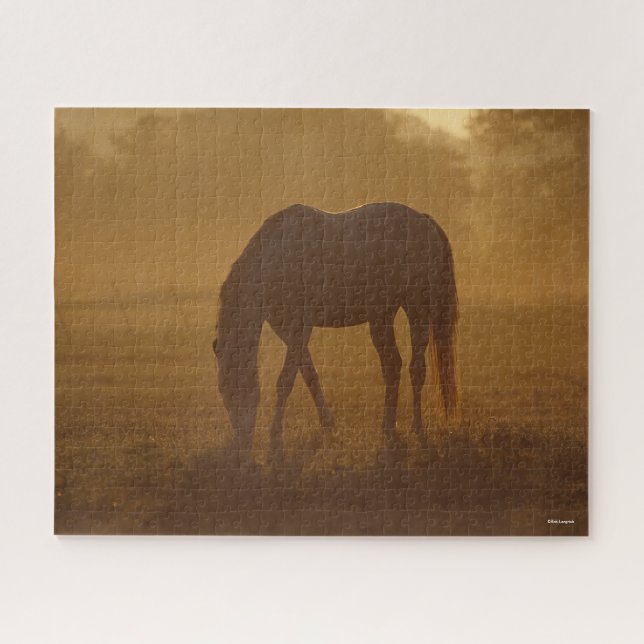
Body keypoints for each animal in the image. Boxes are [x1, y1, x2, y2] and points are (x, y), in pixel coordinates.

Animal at [212, 202, 458, 454]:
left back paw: (417, 426)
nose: (243, 440)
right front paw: (327, 423)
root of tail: (425, 221)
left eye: (240, 388)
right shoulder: (289, 332)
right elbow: (309, 375)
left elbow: (285, 381)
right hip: (381, 317)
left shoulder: (300, 329)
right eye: (223, 389)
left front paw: (275, 435)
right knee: (392, 367)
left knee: (416, 369)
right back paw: (388, 428)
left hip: (417, 309)